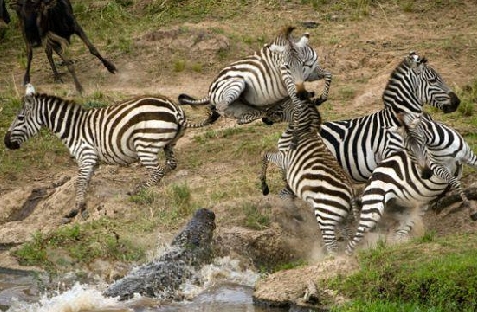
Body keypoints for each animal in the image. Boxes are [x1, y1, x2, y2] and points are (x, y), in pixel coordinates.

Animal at [3, 84, 216, 222]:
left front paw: (74, 210)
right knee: (170, 165)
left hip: (144, 145)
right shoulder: (92, 161)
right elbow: (84, 184)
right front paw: (82, 208)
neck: (73, 128)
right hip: (168, 143)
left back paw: (137, 190)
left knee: (157, 172)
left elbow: (79, 183)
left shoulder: (86, 156)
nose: (6, 143)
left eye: (20, 118)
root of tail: (174, 108)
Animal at [178, 26, 330, 148]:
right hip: (236, 84)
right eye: (285, 67)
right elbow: (297, 101)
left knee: (240, 113)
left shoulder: (311, 73)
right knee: (223, 108)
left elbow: (329, 74)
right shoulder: (289, 82)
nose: (302, 92)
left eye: (303, 63)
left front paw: (321, 98)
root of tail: (210, 91)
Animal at [260, 84, 356, 254]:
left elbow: (264, 155)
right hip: (341, 217)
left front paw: (264, 186)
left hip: (325, 214)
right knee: (346, 238)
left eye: (279, 104)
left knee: (332, 246)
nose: (263, 118)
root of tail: (351, 193)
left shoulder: (285, 157)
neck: (304, 130)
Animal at [346, 111, 476, 255]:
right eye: (408, 150)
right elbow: (456, 183)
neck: (441, 147)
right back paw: (349, 257)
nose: (426, 174)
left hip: (408, 211)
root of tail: (372, 177)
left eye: (422, 143)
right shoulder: (437, 167)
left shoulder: (468, 157)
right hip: (373, 208)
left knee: (399, 235)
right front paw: (471, 210)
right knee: (353, 241)